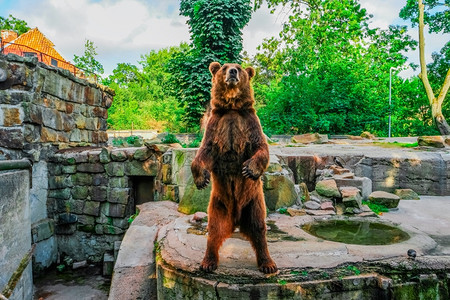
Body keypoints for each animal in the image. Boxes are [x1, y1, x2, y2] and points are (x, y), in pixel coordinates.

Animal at [191, 61, 276, 274]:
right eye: (224, 67)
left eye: (239, 67)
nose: (232, 72)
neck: (232, 107)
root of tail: (236, 220)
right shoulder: (216, 125)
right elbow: (204, 151)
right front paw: (201, 179)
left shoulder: (249, 123)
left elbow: (261, 148)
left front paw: (249, 169)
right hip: (218, 204)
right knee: (214, 230)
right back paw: (208, 262)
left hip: (254, 202)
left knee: (258, 228)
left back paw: (268, 264)